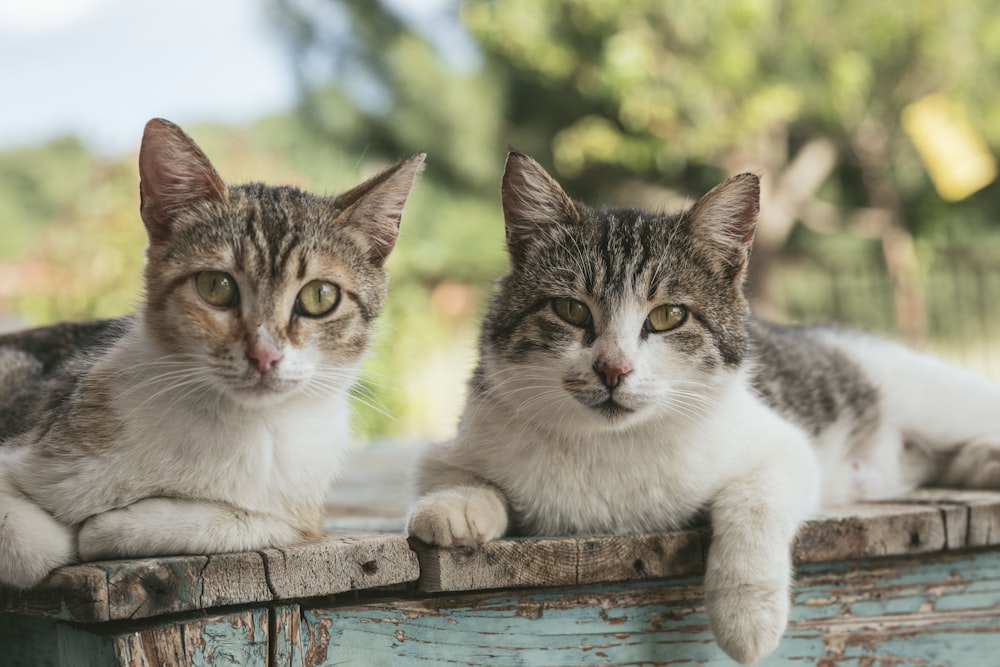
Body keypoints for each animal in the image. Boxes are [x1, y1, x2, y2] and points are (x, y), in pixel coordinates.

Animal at [0, 118, 424, 588]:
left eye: (320, 296)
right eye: (216, 287)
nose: (264, 355)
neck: (233, 425)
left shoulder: (300, 512)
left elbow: (249, 520)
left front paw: (113, 526)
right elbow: (35, 546)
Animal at [410, 153, 1000, 667]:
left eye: (669, 316)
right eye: (571, 309)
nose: (612, 369)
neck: (613, 446)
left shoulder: (785, 447)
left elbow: (754, 501)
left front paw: (748, 612)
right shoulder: (466, 432)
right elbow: (452, 475)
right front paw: (456, 506)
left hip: (933, 396)